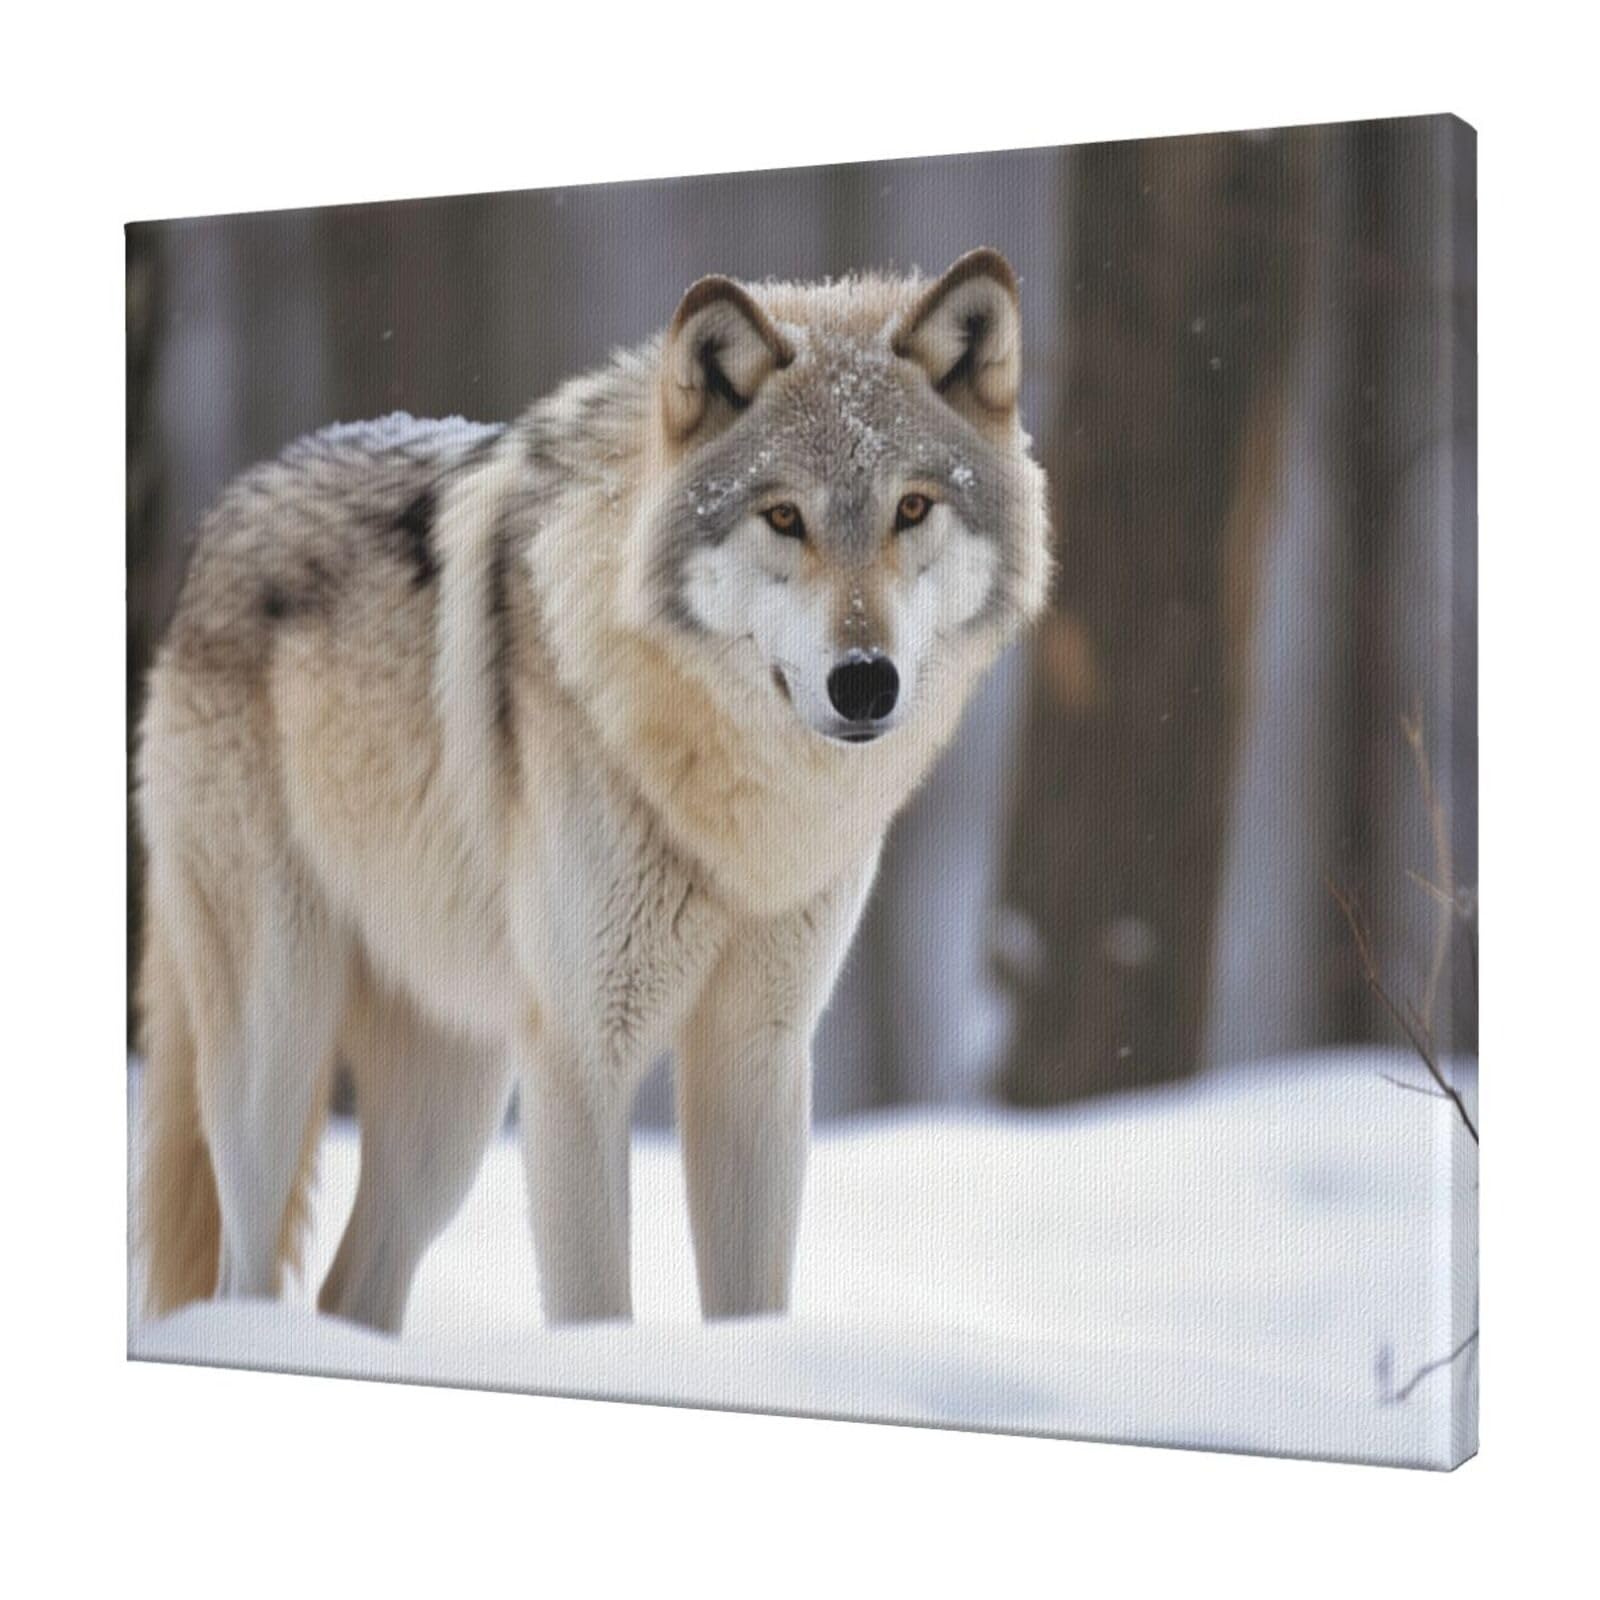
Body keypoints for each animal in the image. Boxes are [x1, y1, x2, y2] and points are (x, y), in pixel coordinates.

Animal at [135, 248, 1052, 1332]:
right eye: (784, 516)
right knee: (242, 1282)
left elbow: (750, 1305)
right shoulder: (580, 1059)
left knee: (347, 1287)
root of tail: (214, 527)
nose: (864, 680)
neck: (740, 809)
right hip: (279, 1058)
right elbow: (596, 1306)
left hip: (455, 1107)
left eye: (913, 507)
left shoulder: (758, 1058)